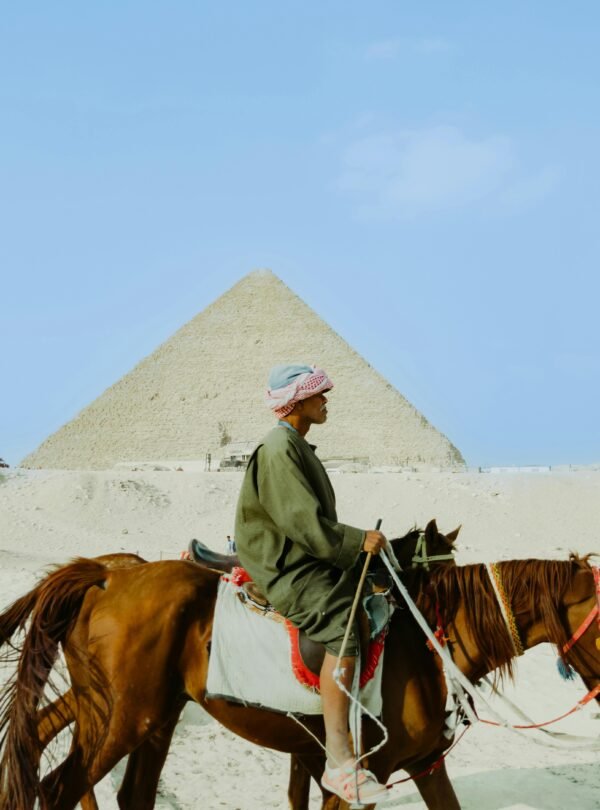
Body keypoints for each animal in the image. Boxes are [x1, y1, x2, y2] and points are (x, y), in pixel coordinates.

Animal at [1, 548, 600, 804]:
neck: (428, 639)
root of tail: (106, 576)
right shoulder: (362, 769)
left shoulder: (424, 765)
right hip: (121, 718)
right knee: (57, 787)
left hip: (151, 716)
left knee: (123, 791)